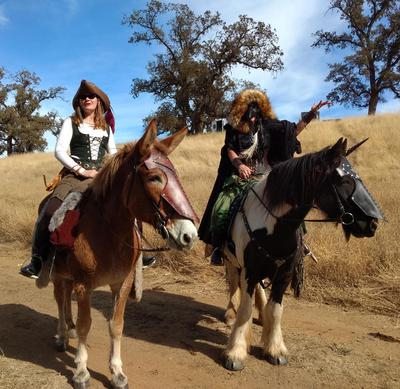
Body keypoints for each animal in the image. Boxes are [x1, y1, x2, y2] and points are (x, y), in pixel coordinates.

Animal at [39, 120, 198, 388]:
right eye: (155, 177)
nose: (190, 235)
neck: (107, 231)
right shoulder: (83, 285)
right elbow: (86, 324)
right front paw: (81, 371)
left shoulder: (121, 283)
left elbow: (116, 325)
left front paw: (116, 372)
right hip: (59, 274)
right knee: (60, 299)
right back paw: (62, 335)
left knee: (65, 299)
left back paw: (68, 330)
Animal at [222, 137, 384, 370]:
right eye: (345, 182)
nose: (372, 224)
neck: (275, 226)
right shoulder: (250, 272)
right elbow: (245, 309)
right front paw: (235, 352)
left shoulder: (284, 274)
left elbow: (276, 310)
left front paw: (275, 348)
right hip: (231, 260)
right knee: (234, 284)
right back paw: (229, 313)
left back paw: (260, 315)